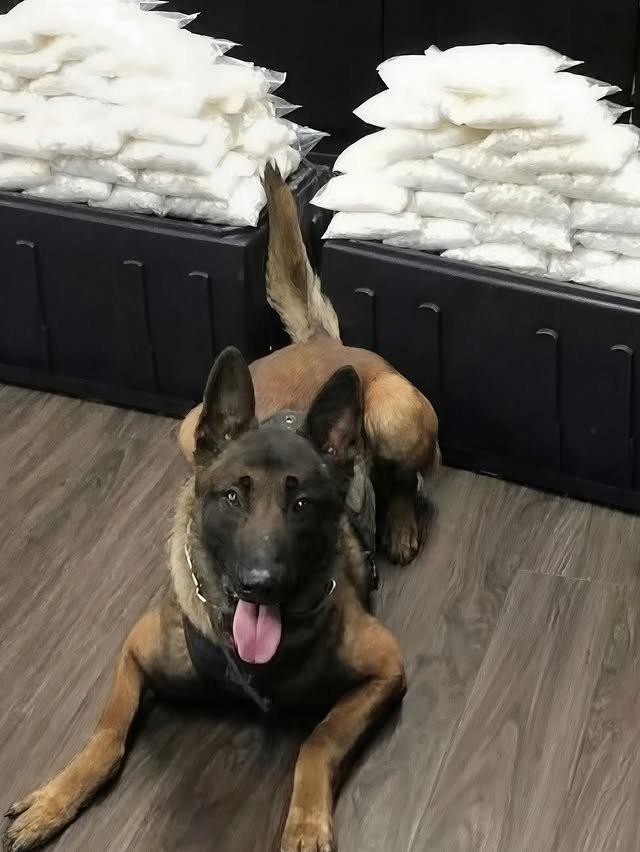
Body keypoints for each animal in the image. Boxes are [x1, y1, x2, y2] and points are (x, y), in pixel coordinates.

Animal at [4, 167, 438, 852]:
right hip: (187, 427)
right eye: (232, 496)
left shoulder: (385, 669)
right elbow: (104, 737)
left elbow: (316, 743)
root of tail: (319, 344)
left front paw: (305, 823)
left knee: (407, 478)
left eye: (303, 503)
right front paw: (56, 797)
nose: (259, 583)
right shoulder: (133, 653)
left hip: (396, 415)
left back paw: (398, 524)